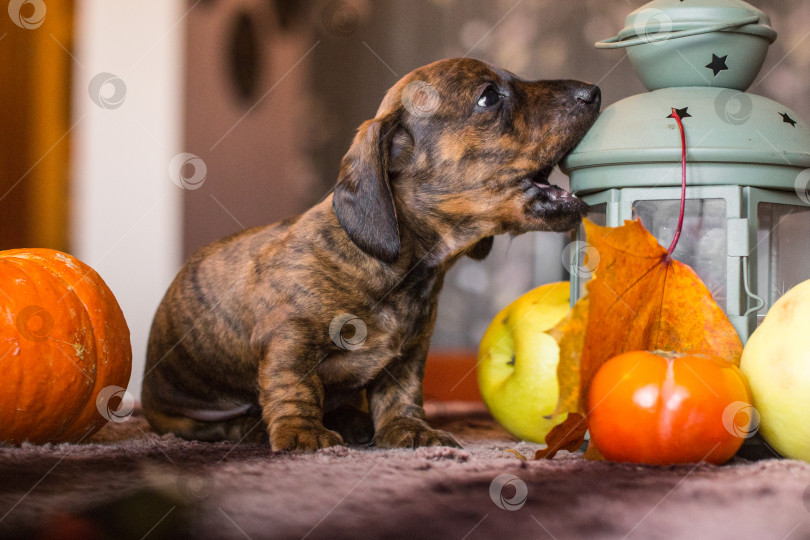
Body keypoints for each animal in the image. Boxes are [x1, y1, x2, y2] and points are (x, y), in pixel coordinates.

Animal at [140, 58, 600, 452]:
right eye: (488, 96)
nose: (593, 91)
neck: (401, 269)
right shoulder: (289, 340)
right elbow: (296, 388)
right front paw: (304, 434)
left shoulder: (409, 355)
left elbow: (400, 396)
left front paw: (409, 430)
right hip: (179, 415)